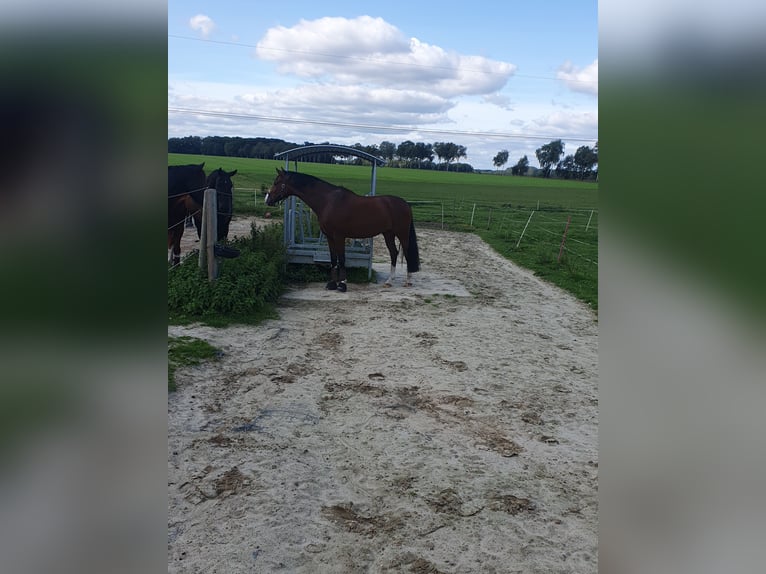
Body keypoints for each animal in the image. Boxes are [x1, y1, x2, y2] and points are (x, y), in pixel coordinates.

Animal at [264, 166, 420, 292]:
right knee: (394, 253)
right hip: (388, 234)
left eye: (276, 182)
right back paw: (389, 281)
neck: (328, 201)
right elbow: (334, 259)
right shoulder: (329, 236)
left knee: (406, 254)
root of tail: (405, 204)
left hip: (402, 235)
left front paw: (343, 284)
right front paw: (332, 283)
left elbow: (342, 259)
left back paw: (408, 281)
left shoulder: (339, 236)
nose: (267, 199)